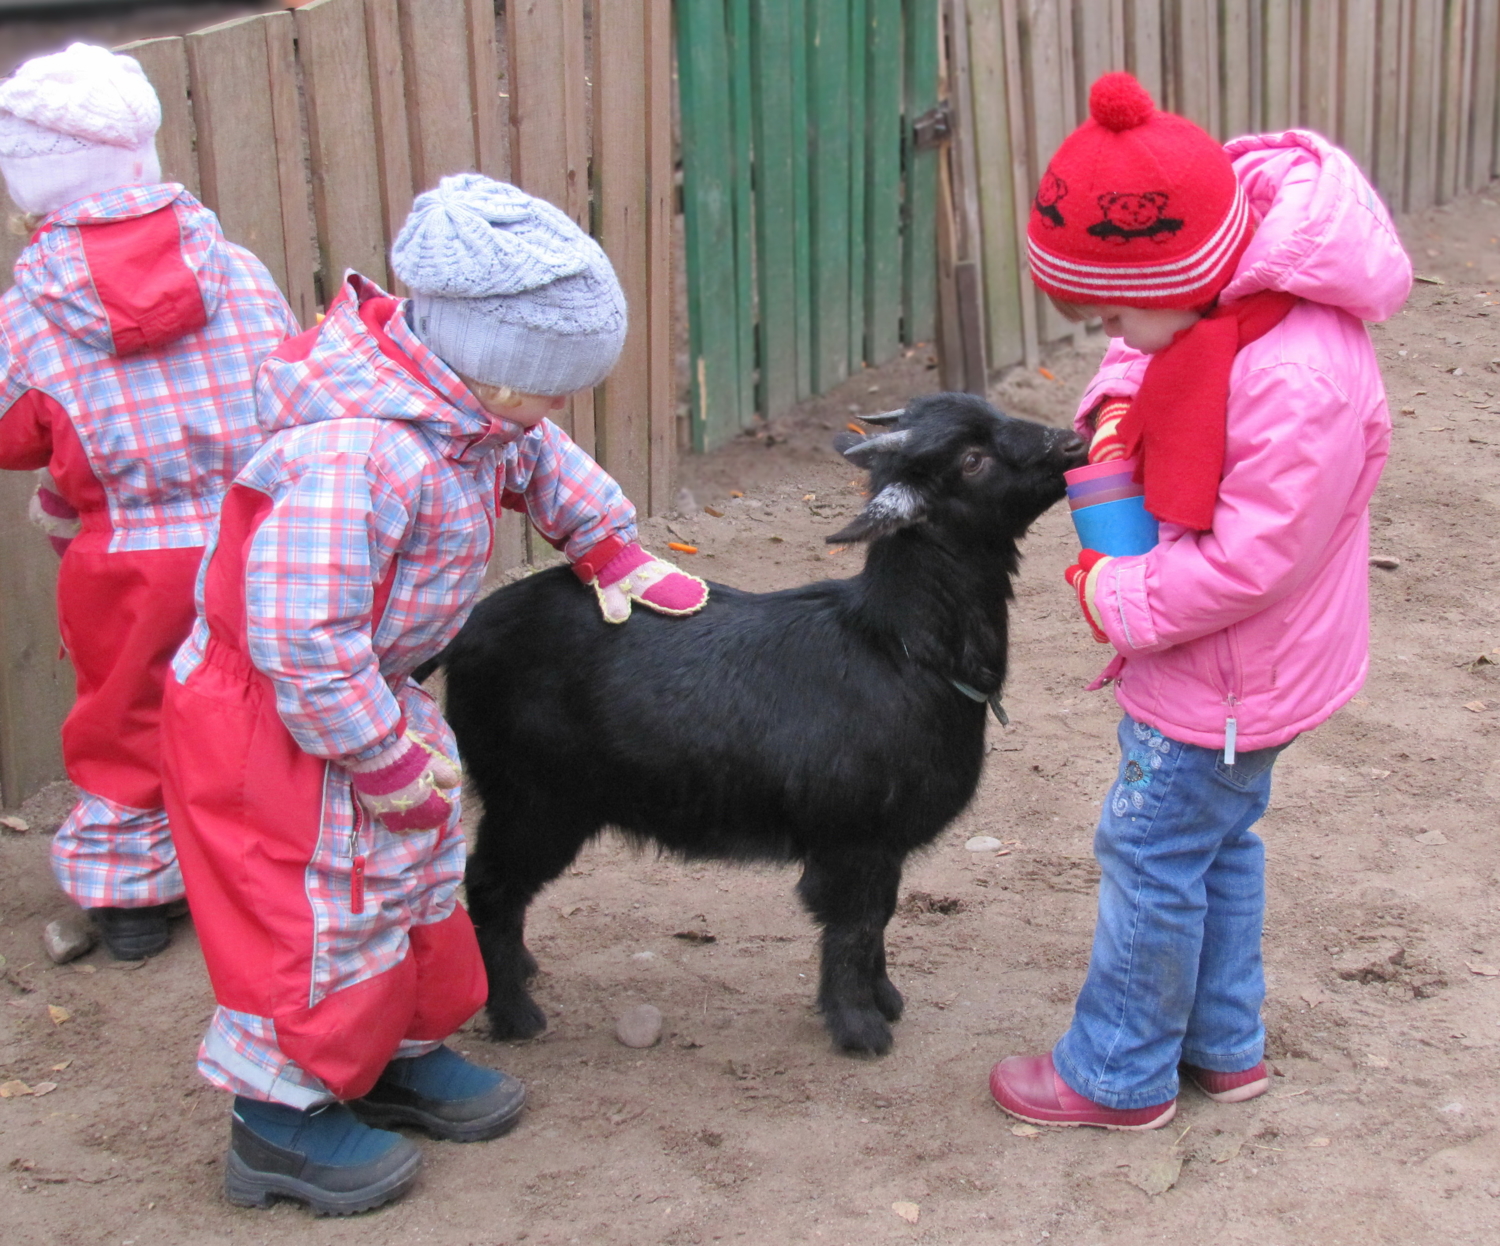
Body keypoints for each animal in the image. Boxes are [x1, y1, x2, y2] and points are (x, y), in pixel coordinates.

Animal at [429, 392, 1086, 1055]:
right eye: (972, 459)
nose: (1073, 442)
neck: (897, 647)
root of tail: (467, 632)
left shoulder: (883, 845)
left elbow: (880, 919)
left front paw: (886, 1000)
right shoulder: (852, 840)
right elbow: (853, 929)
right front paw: (859, 1028)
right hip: (534, 800)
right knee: (488, 885)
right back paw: (514, 1013)